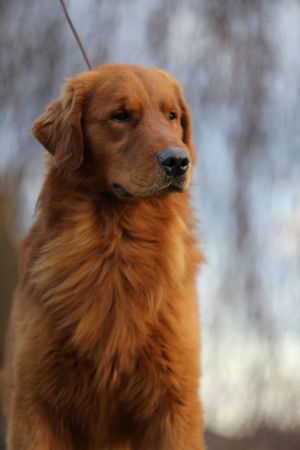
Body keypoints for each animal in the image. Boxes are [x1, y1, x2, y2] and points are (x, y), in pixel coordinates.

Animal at [1, 64, 204, 450]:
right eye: (120, 116)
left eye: (171, 116)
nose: (178, 161)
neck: (116, 247)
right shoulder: (35, 403)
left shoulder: (173, 403)